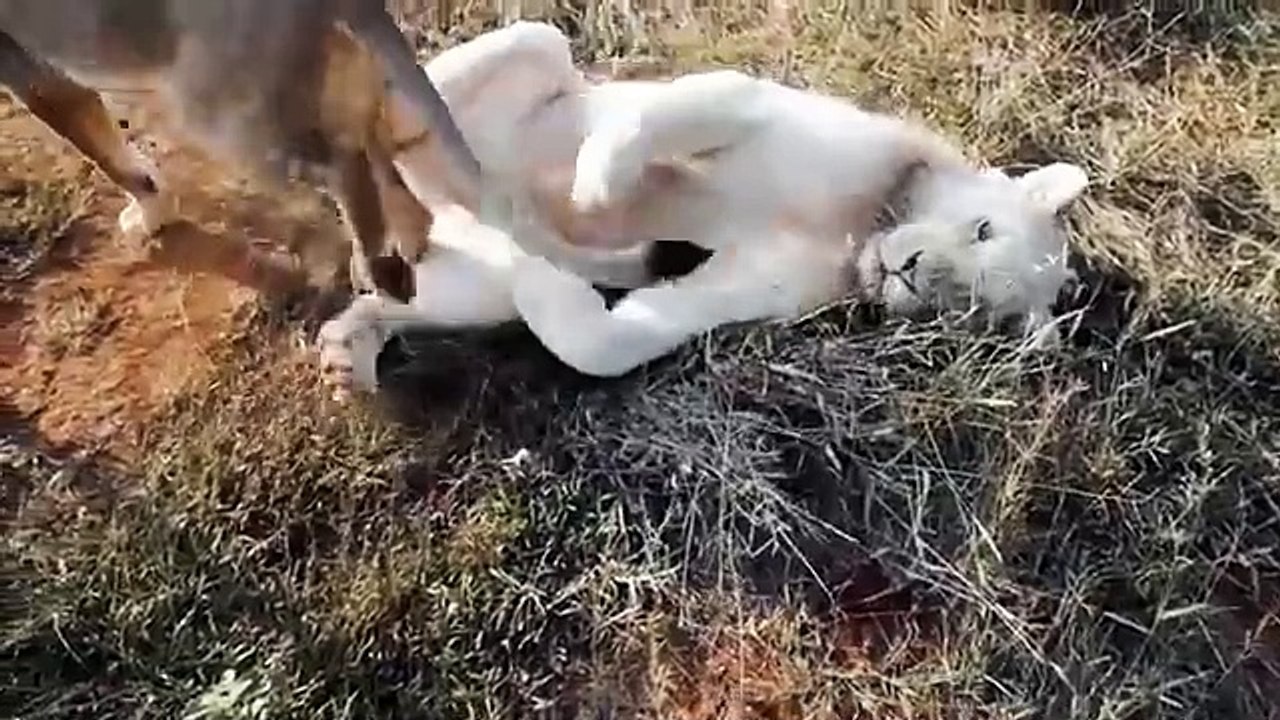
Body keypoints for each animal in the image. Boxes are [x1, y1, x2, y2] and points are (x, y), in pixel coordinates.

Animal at [0, 0, 500, 301]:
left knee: (345, 164)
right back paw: (410, 242)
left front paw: (149, 212)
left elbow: (101, 150)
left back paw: (372, 270)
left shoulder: (31, 67)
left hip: (215, 110)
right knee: (373, 145)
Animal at [315, 22, 1088, 396]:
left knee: (402, 295)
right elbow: (674, 115)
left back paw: (348, 352)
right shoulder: (761, 106)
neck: (860, 229)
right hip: (536, 55)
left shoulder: (734, 290)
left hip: (469, 285)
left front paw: (554, 274)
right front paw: (597, 186)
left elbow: (606, 343)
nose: (911, 270)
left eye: (970, 307)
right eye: (981, 228)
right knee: (466, 69)